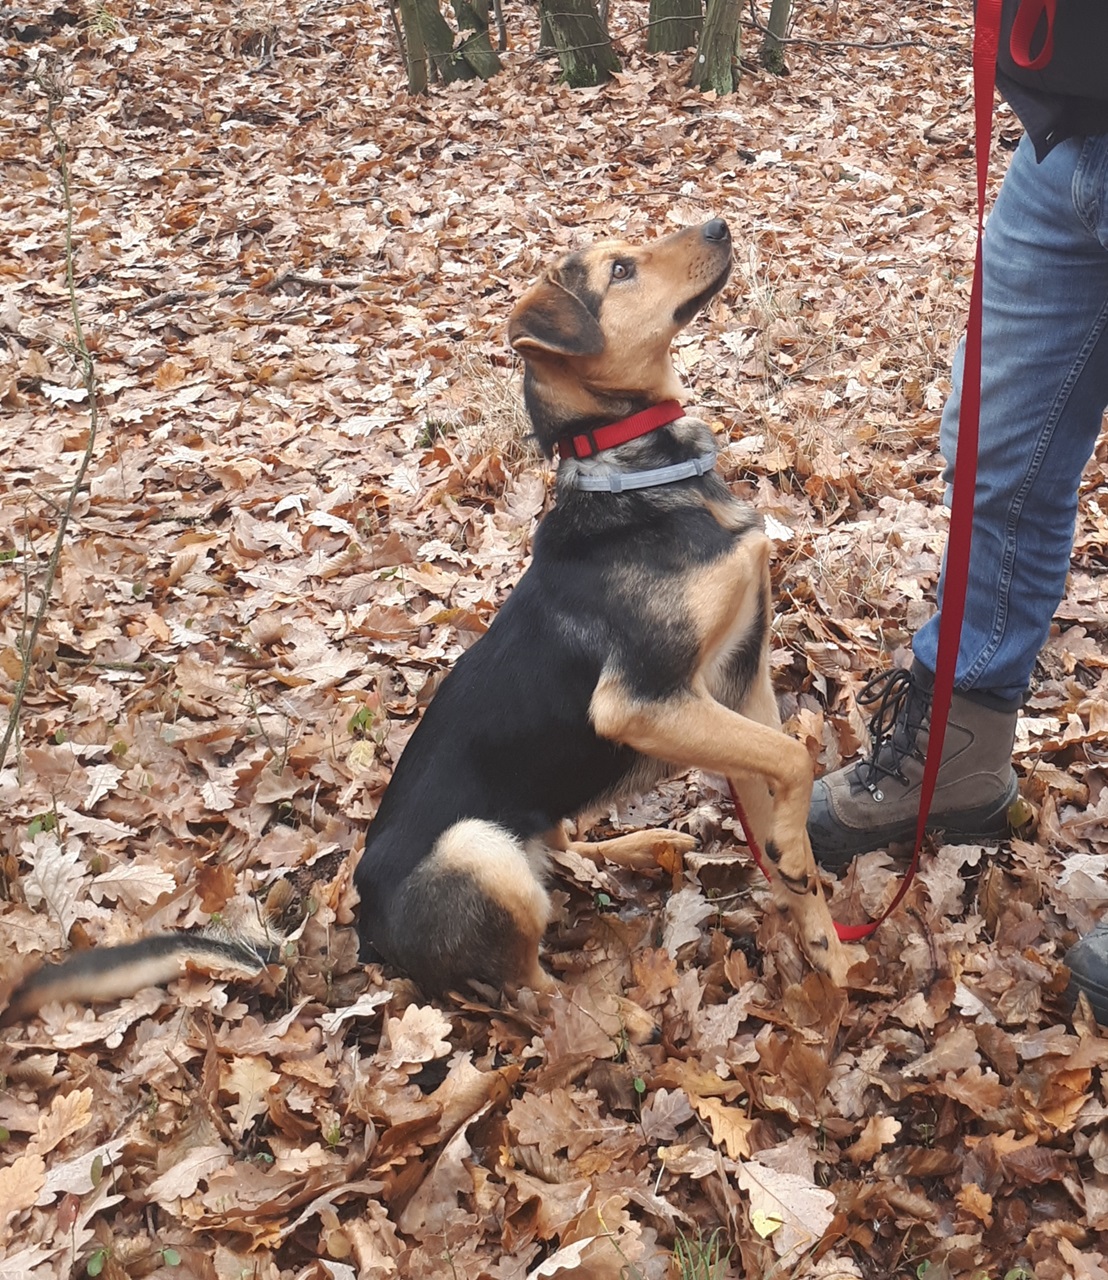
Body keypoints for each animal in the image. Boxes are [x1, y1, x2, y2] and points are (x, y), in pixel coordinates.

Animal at [6, 219, 860, 1018]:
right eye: (622, 268)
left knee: (565, 851)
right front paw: (795, 861)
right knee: (527, 988)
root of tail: (355, 930)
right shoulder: (645, 700)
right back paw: (613, 1018)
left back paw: (647, 844)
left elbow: (779, 788)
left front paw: (823, 936)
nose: (718, 225)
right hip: (479, 850)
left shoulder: (740, 680)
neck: (639, 477)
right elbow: (793, 759)